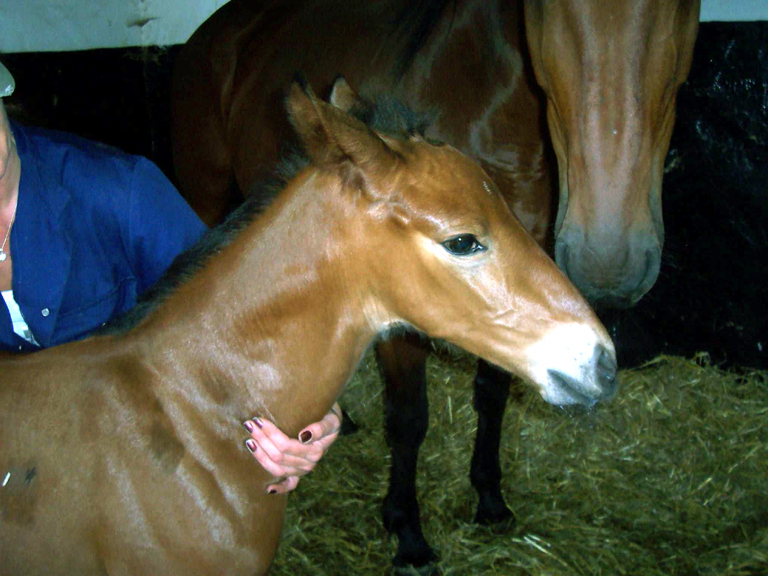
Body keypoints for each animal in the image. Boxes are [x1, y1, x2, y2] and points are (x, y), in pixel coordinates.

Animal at [170, 0, 699, 570]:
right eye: (549, 9)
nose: (610, 260)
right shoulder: (407, 318)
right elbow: (409, 419)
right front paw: (407, 531)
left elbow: (492, 396)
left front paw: (489, 496)